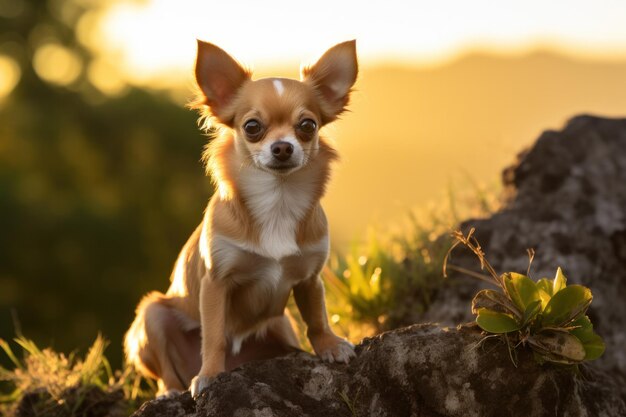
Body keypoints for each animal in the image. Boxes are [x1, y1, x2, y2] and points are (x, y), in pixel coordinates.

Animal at [123, 39, 356, 396]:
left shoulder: (309, 278)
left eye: (307, 126)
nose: (283, 147)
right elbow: (214, 335)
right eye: (252, 127)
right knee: (166, 369)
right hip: (152, 314)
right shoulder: (215, 283)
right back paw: (172, 390)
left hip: (282, 325)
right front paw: (209, 374)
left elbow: (317, 317)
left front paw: (329, 345)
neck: (277, 199)